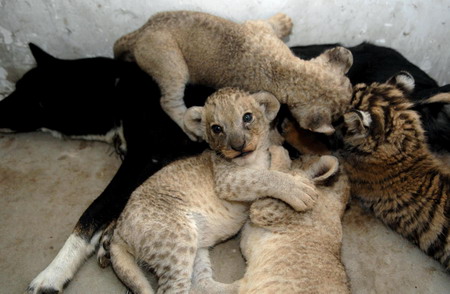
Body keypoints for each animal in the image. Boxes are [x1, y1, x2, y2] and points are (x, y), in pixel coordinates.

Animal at [1, 42, 448, 294]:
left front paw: (53, 273)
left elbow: (93, 212)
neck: (118, 89)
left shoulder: (145, 158)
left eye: (27, 94)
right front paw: (108, 241)